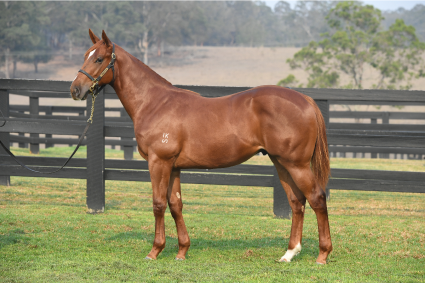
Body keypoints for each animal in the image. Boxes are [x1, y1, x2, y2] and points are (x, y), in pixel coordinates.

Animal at [69, 30, 332, 266]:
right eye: (85, 55)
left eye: (99, 59)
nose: (75, 90)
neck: (155, 102)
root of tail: (306, 100)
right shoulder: (174, 167)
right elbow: (175, 205)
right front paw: (182, 251)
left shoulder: (158, 162)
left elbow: (158, 204)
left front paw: (155, 251)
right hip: (281, 164)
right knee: (297, 202)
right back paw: (289, 254)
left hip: (296, 164)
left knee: (317, 198)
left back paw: (322, 255)